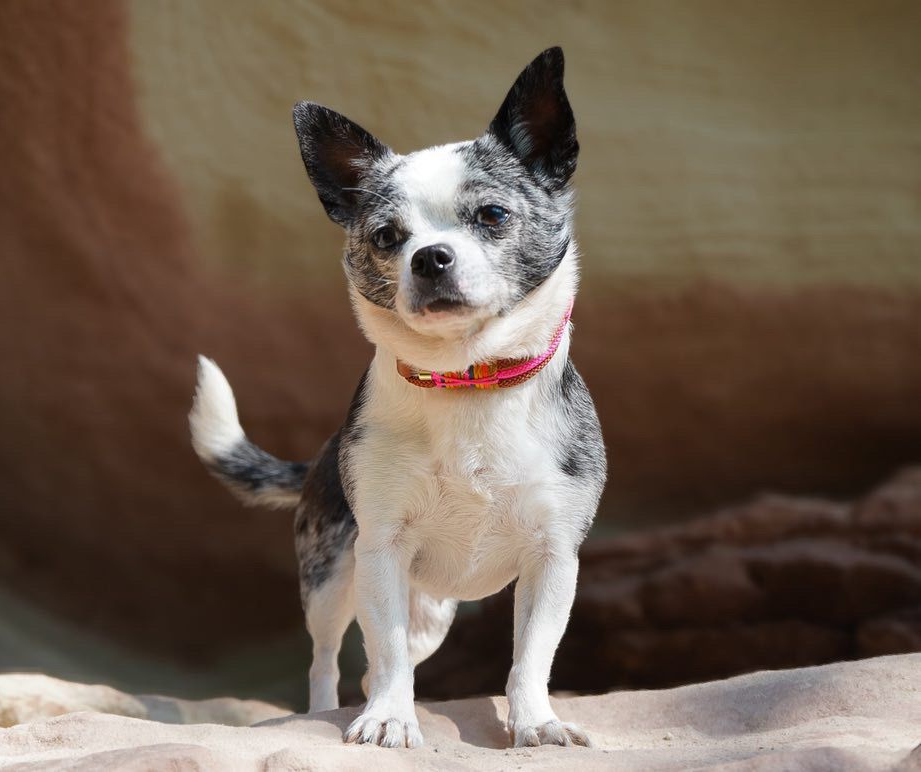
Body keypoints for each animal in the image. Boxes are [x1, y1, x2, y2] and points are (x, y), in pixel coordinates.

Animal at [189, 47, 605, 749]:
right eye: (387, 236)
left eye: (492, 216)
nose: (429, 256)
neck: (467, 380)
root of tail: (320, 455)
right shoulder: (379, 550)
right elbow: (380, 649)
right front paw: (388, 719)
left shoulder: (553, 559)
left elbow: (530, 656)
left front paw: (536, 723)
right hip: (331, 576)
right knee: (330, 659)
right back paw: (324, 713)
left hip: (432, 612)